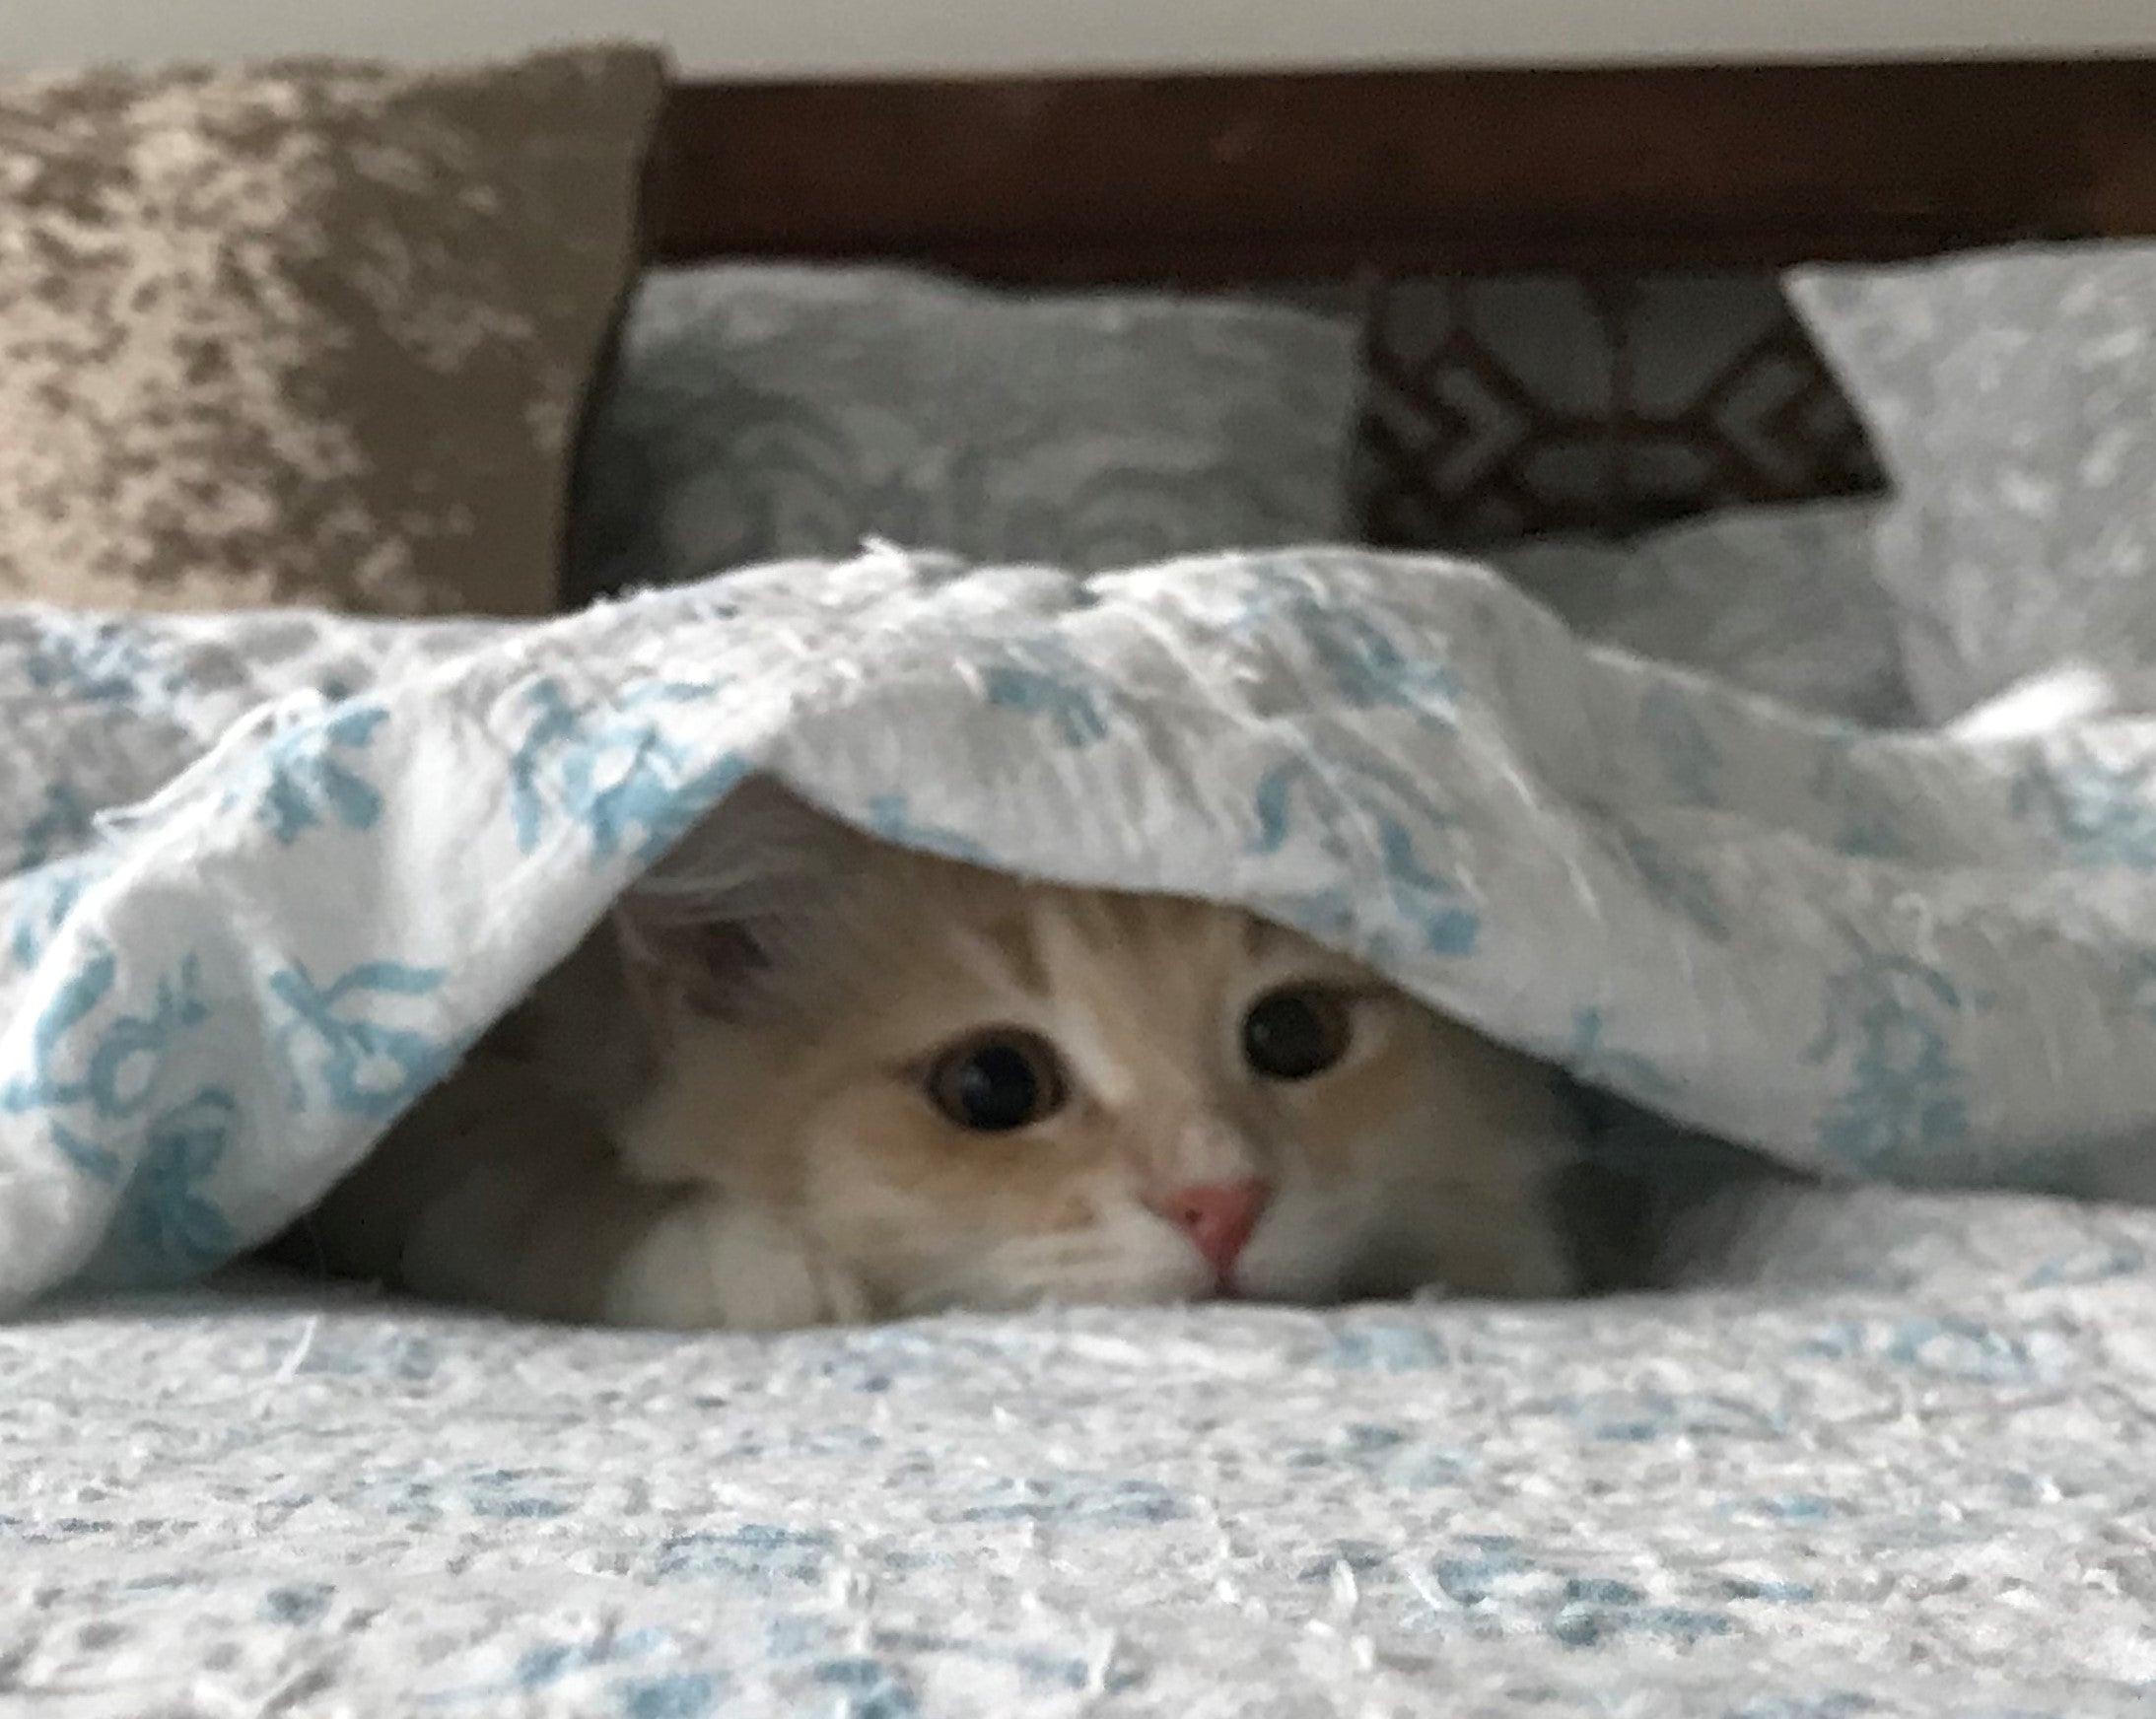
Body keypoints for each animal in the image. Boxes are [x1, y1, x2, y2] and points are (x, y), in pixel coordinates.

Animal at [299, 776, 1586, 1328]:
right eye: (993, 1084)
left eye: (1293, 1033)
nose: (1222, 1204)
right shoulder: (441, 1096)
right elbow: (516, 1167)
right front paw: (735, 1257)